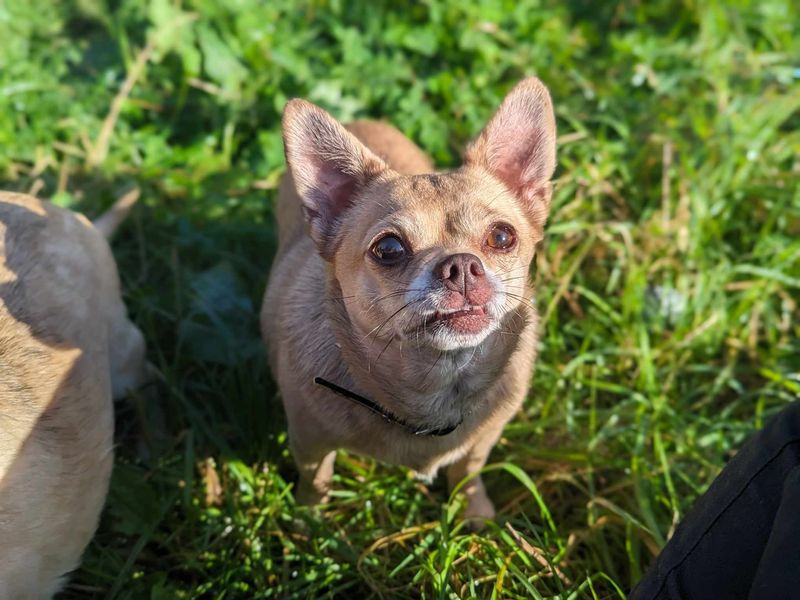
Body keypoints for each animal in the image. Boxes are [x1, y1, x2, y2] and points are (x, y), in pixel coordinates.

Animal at [262, 78, 556, 520]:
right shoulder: (309, 444)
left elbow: (469, 468)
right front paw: (309, 521)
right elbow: (316, 481)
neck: (439, 379)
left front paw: (474, 513)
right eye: (388, 249)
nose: (461, 265)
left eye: (502, 236)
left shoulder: (484, 437)